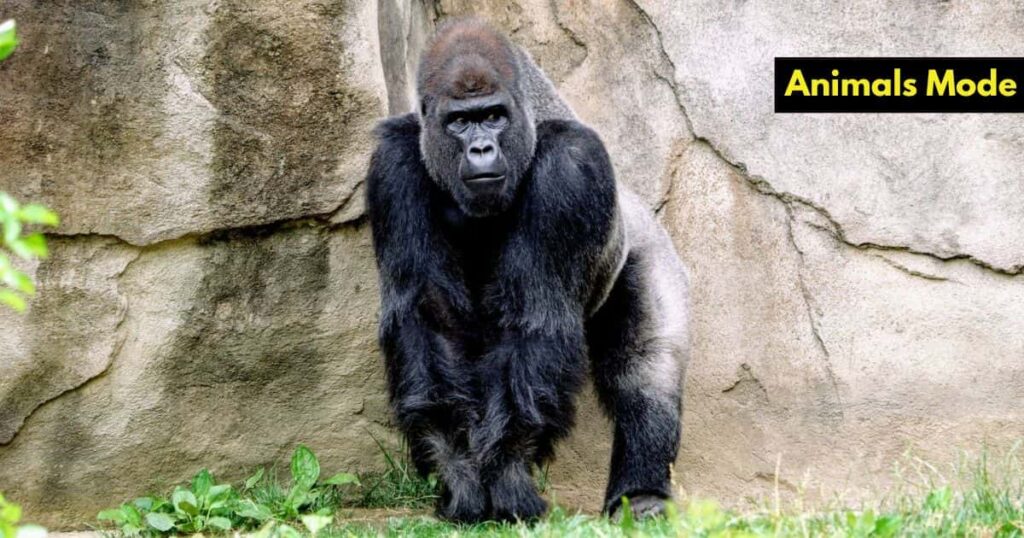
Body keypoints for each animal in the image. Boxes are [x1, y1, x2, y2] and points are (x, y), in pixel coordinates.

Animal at [365, 18, 689, 523]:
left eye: (494, 116)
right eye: (460, 122)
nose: (481, 148)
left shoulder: (572, 168)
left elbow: (537, 321)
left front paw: (508, 475)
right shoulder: (392, 166)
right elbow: (429, 320)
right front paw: (460, 474)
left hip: (648, 248)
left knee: (645, 367)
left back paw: (642, 493)